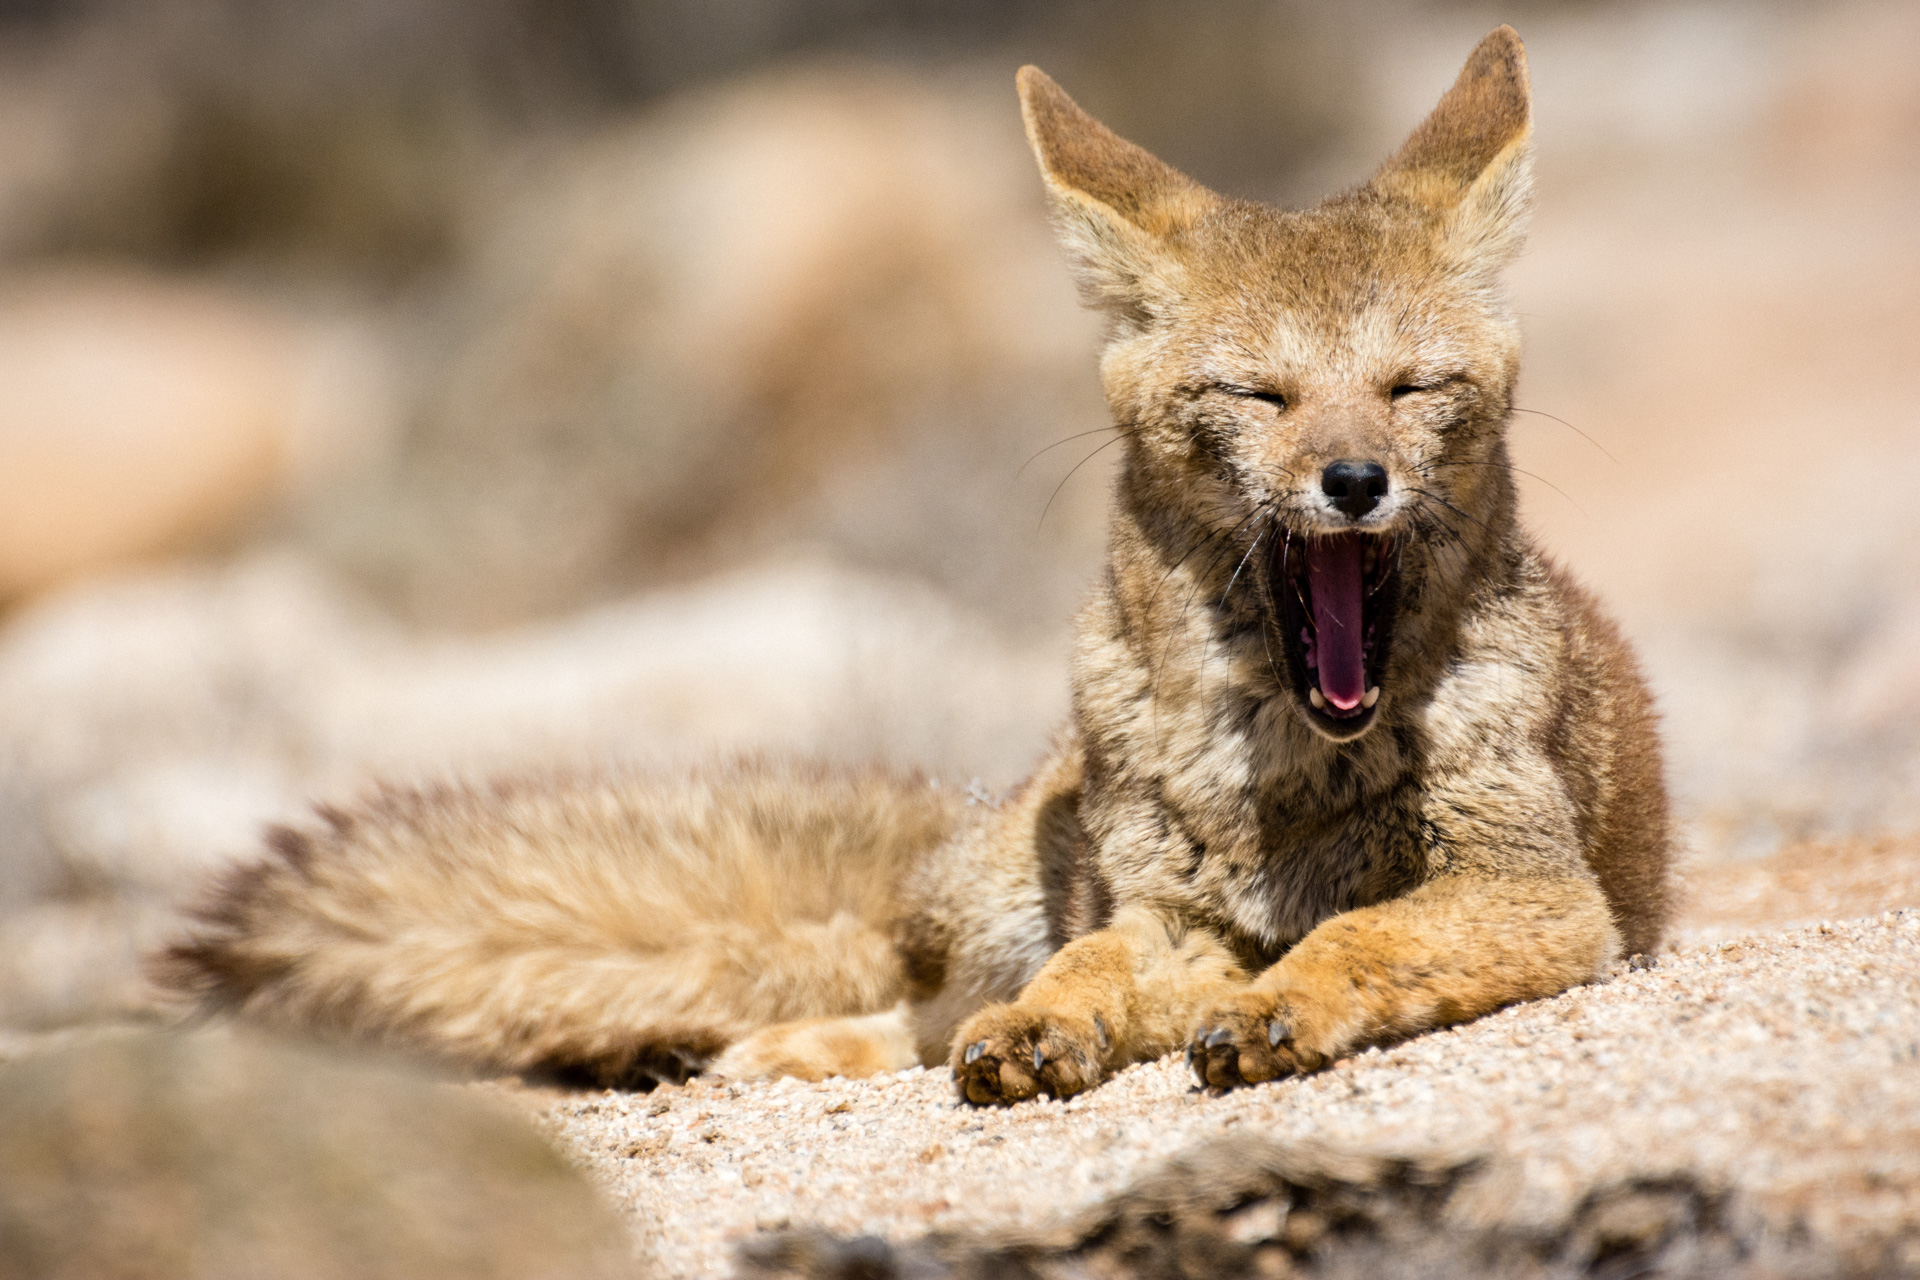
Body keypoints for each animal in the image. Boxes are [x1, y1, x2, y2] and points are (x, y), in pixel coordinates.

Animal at [161, 29, 1666, 1113]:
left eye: (1412, 389)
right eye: (1262, 396)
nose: (1356, 482)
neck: (1285, 778)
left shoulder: (1542, 896)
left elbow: (1356, 938)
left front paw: (1281, 1004)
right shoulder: (1168, 917)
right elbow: (1093, 961)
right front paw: (1052, 1027)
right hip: (1006, 892)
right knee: (918, 1004)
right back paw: (768, 1049)